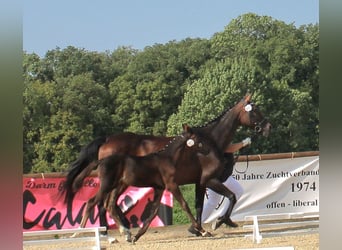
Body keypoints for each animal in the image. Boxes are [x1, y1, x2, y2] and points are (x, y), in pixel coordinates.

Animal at [79, 124, 226, 242]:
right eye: (198, 139)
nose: (209, 150)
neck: (168, 158)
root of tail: (101, 161)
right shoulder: (172, 185)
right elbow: (185, 205)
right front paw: (203, 231)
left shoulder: (159, 188)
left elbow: (154, 211)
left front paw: (137, 236)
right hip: (107, 185)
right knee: (92, 202)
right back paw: (79, 232)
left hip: (117, 186)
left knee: (107, 205)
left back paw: (126, 233)